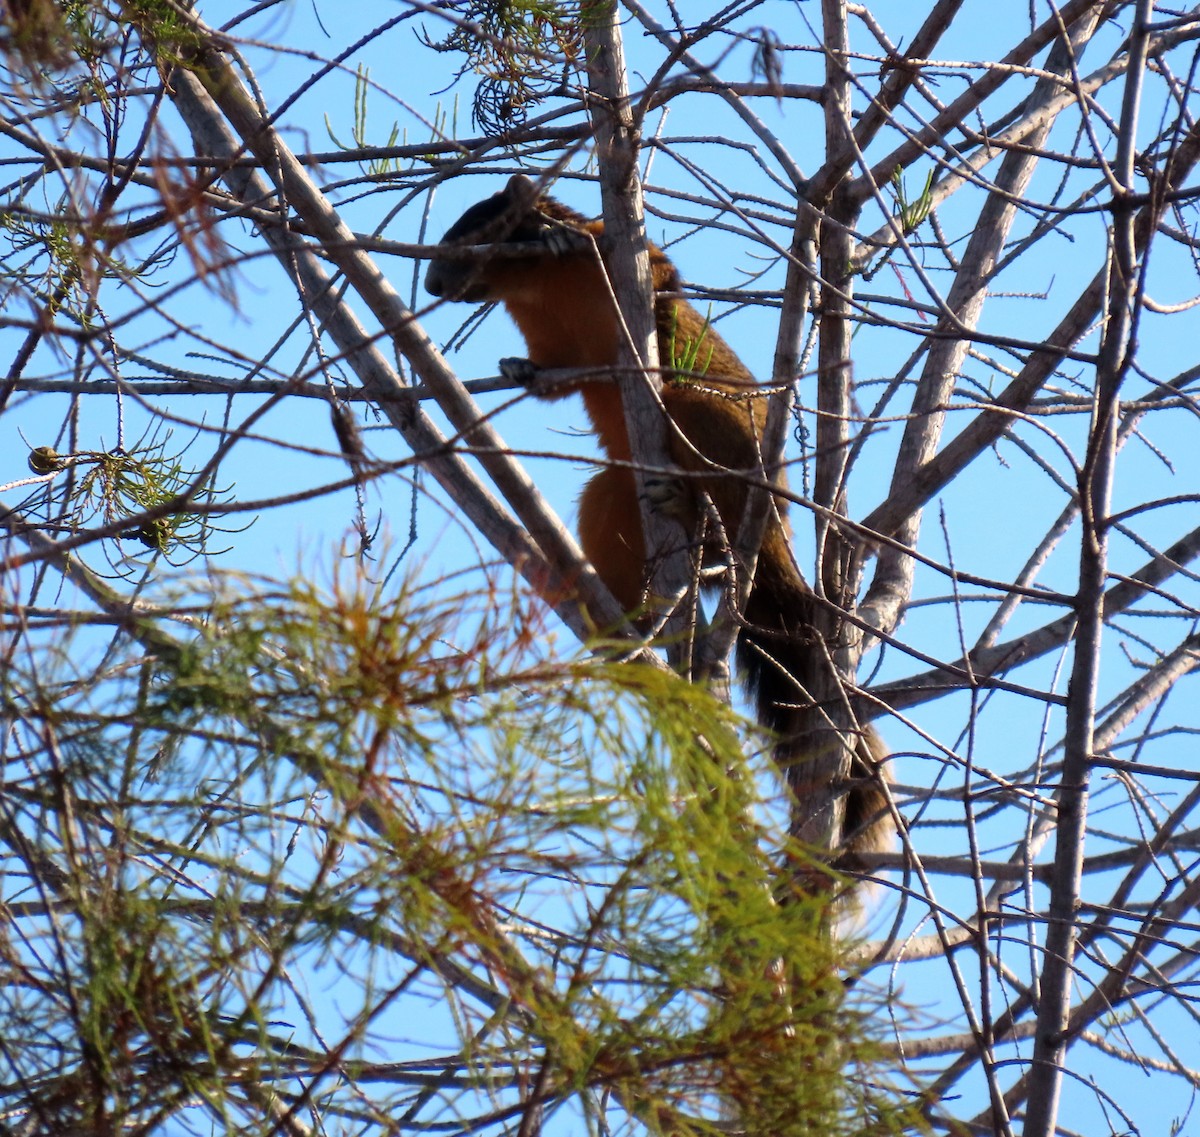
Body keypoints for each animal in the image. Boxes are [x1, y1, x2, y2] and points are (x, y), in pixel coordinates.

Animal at [425, 174, 893, 872]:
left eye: (476, 224)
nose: (431, 283)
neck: (536, 289)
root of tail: (771, 537)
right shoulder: (553, 344)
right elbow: (553, 379)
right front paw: (518, 370)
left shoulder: (627, 259)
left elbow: (664, 274)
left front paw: (556, 233)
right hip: (610, 498)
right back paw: (629, 622)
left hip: (705, 418)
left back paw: (695, 520)